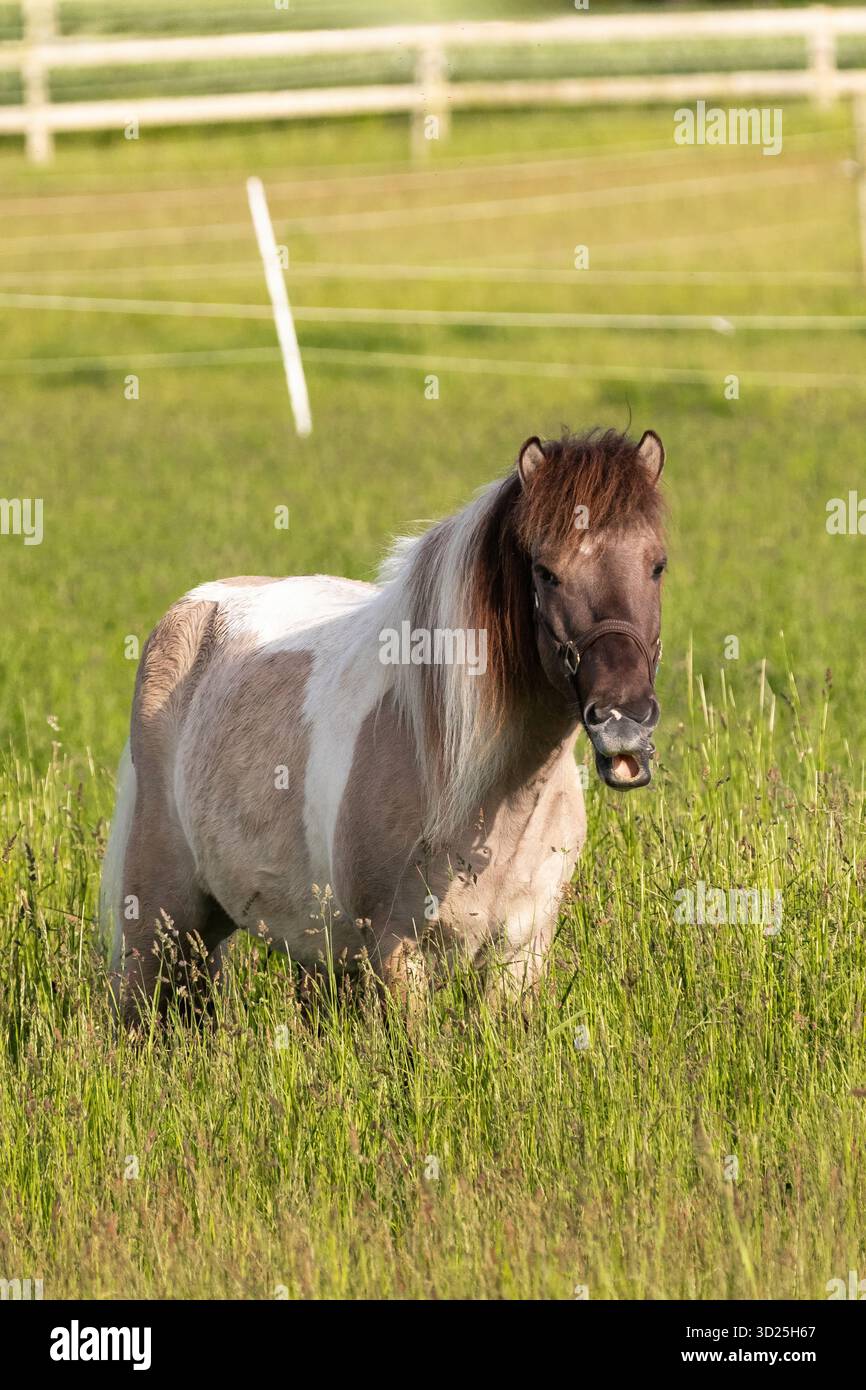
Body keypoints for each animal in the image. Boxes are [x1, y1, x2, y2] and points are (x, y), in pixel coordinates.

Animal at [100, 426, 666, 1025]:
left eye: (657, 565)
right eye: (546, 572)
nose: (624, 721)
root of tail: (190, 611)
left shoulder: (519, 954)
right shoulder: (396, 952)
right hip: (156, 929)